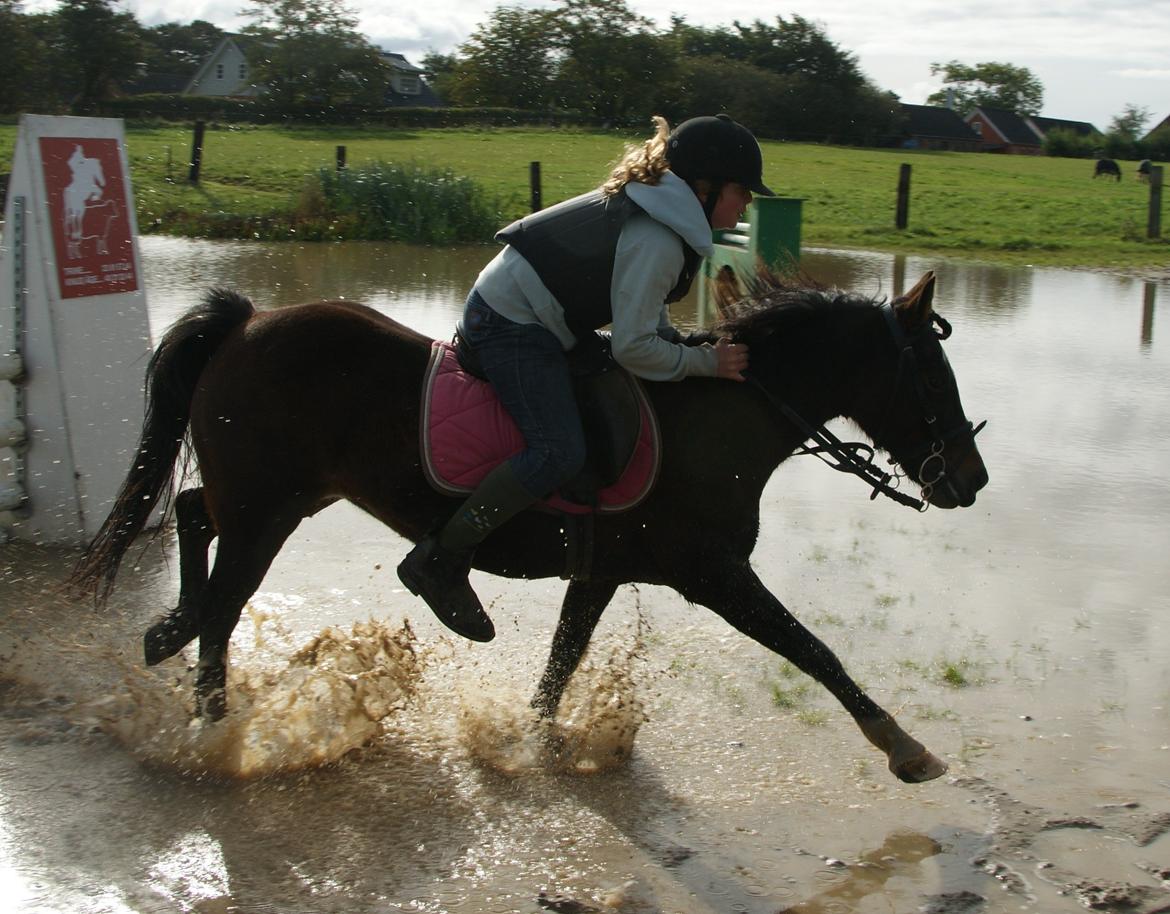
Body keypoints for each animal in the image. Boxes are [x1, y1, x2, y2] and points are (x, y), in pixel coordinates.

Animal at [68, 267, 987, 781]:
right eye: (932, 373)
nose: (971, 481)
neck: (724, 414)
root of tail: (249, 322)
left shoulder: (602, 574)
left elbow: (559, 667)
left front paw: (525, 743)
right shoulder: (717, 576)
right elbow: (816, 652)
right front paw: (907, 749)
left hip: (282, 496)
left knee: (193, 516)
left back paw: (169, 630)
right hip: (268, 510)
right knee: (223, 609)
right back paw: (217, 732)